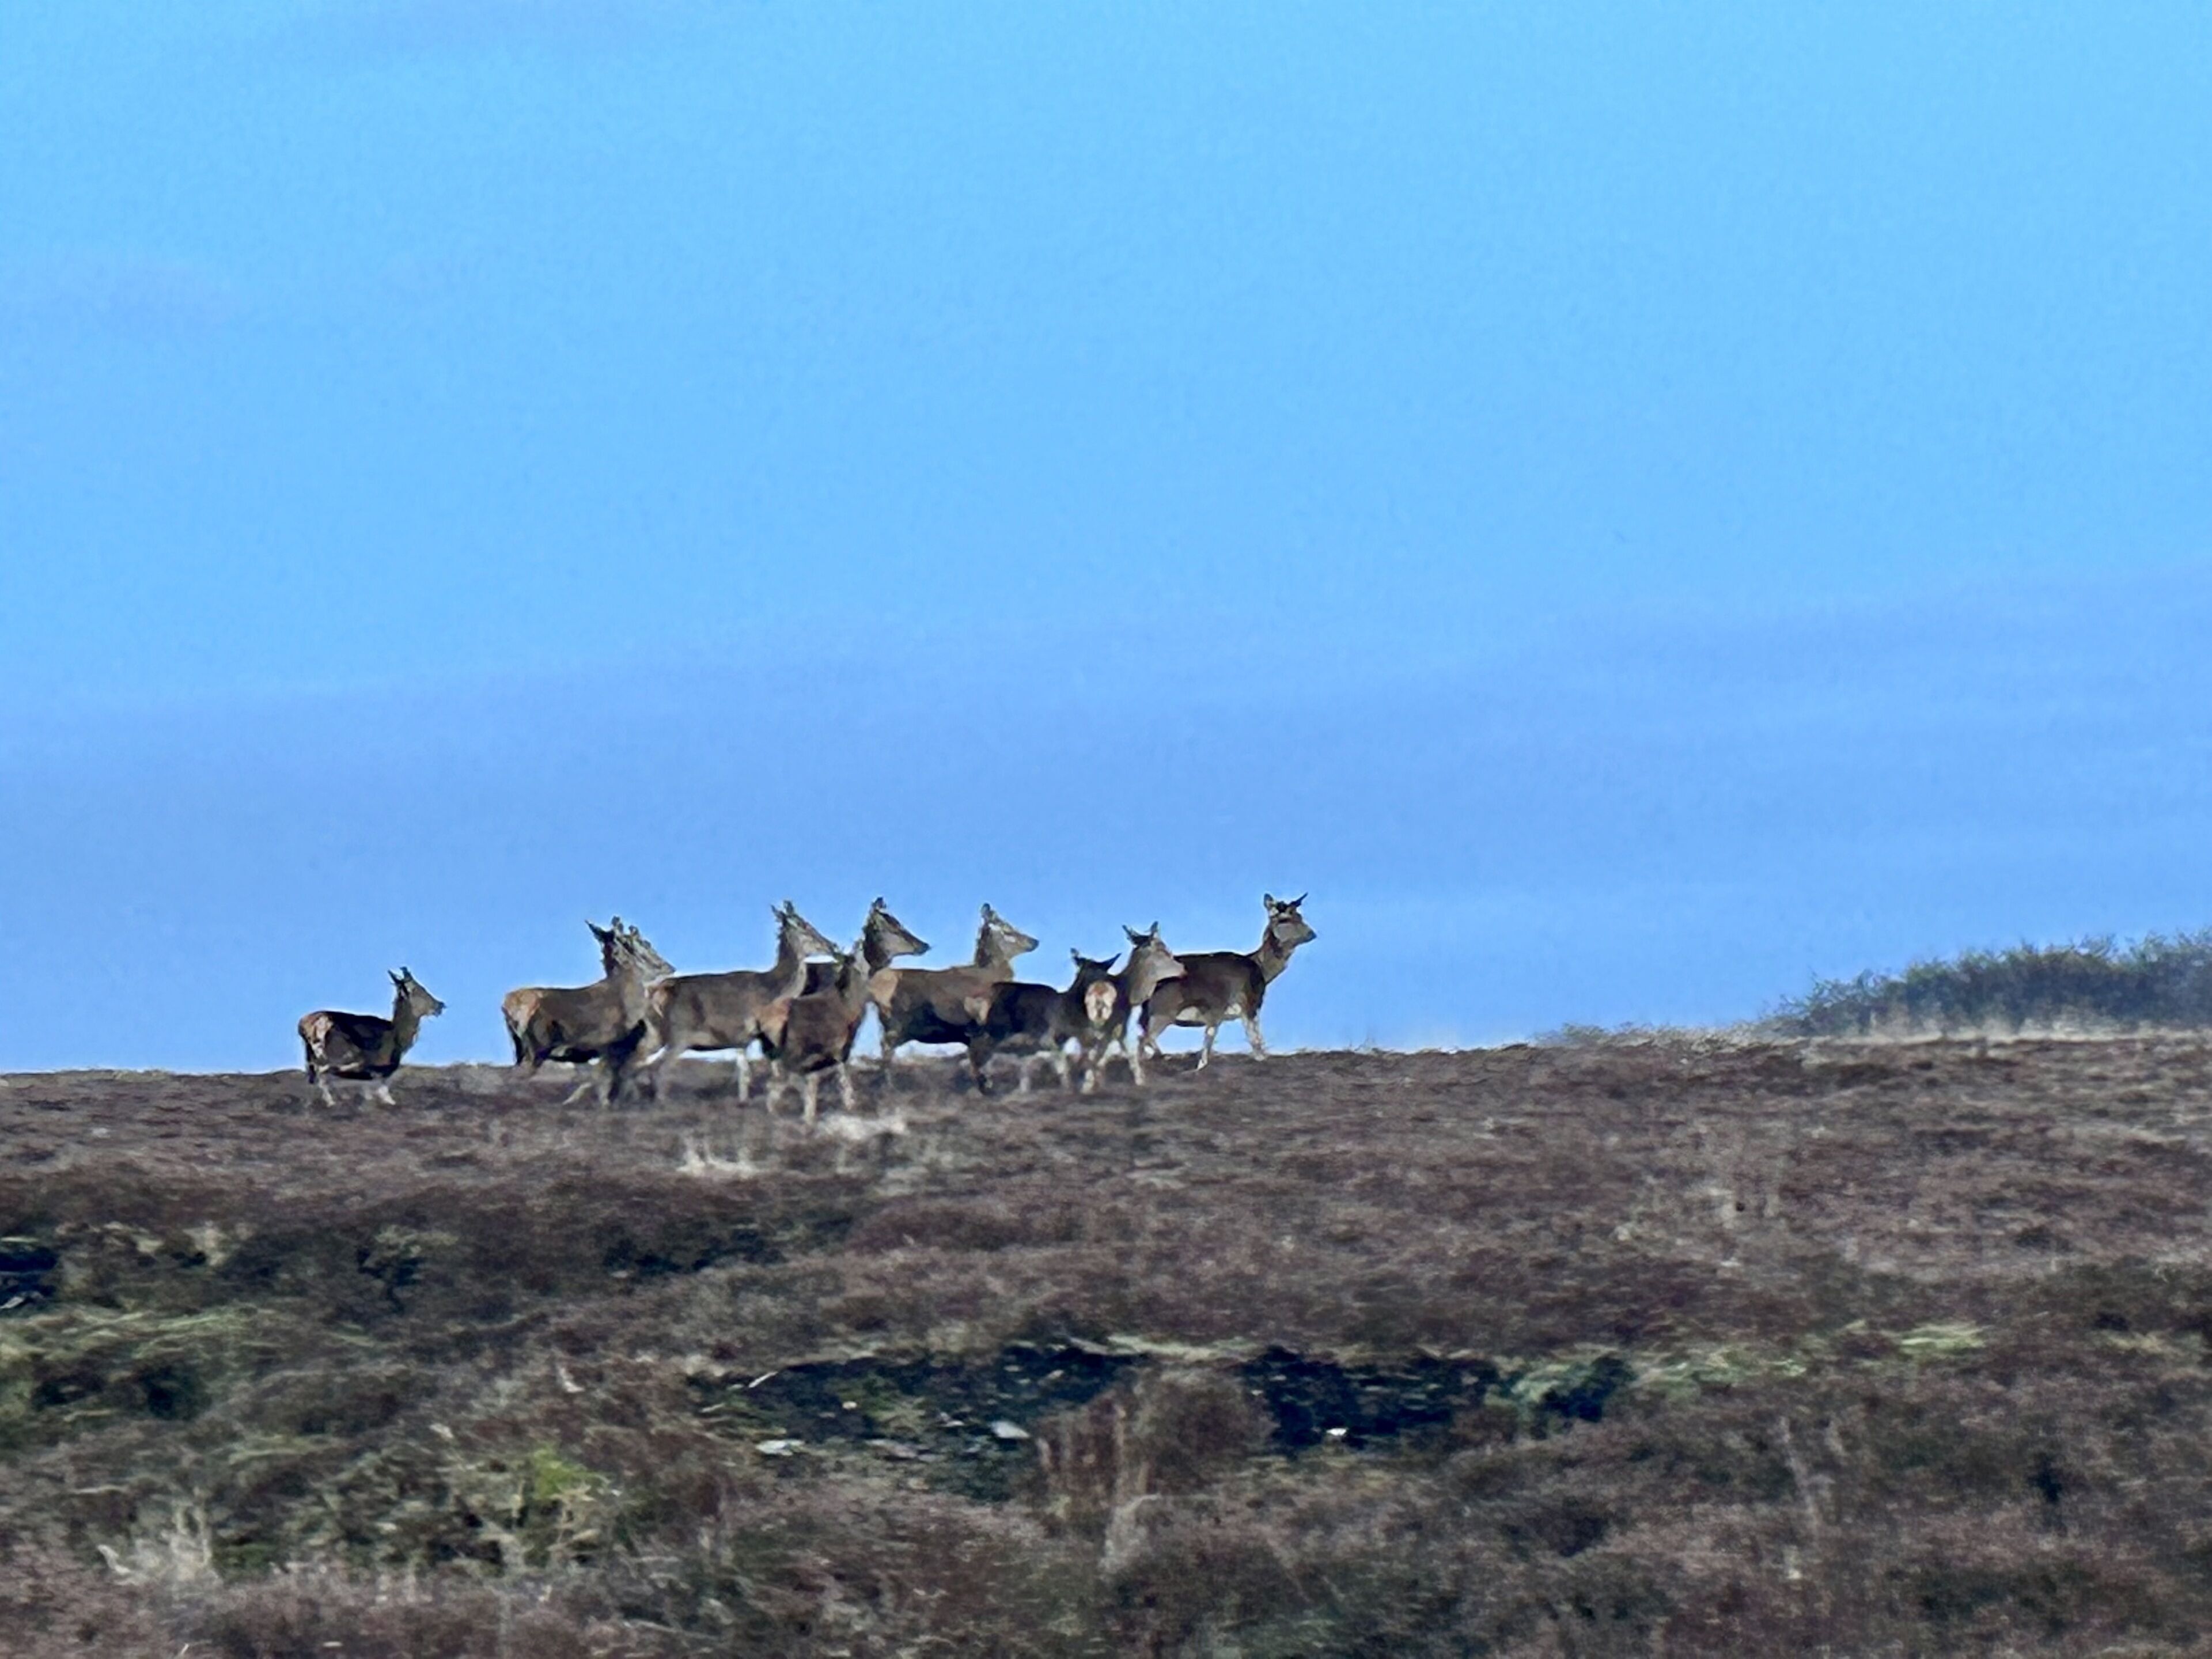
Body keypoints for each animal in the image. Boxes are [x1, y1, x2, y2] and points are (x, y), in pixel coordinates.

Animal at [298, 968, 446, 1108]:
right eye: (418, 989)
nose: (440, 1005)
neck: (398, 1038)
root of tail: (306, 1026)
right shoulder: (381, 1069)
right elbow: (384, 1092)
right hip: (341, 1053)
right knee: (322, 1072)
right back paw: (330, 1102)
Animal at [503, 917, 674, 1106]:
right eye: (645, 943)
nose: (669, 967)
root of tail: (507, 1006)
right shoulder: (609, 1047)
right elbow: (606, 1080)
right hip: (537, 1050)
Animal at [641, 902, 839, 1101]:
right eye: (804, 925)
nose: (832, 945)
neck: (775, 991)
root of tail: (662, 990)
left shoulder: (742, 1039)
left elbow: (744, 1075)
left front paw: (744, 1100)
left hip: (658, 1034)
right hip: (680, 1034)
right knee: (660, 1069)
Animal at [1138, 894, 1316, 1070]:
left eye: (1300, 916)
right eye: (1285, 919)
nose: (1312, 934)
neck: (1262, 969)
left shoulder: (1218, 1016)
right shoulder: (1248, 1006)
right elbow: (1256, 1044)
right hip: (1163, 1011)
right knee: (1144, 1041)